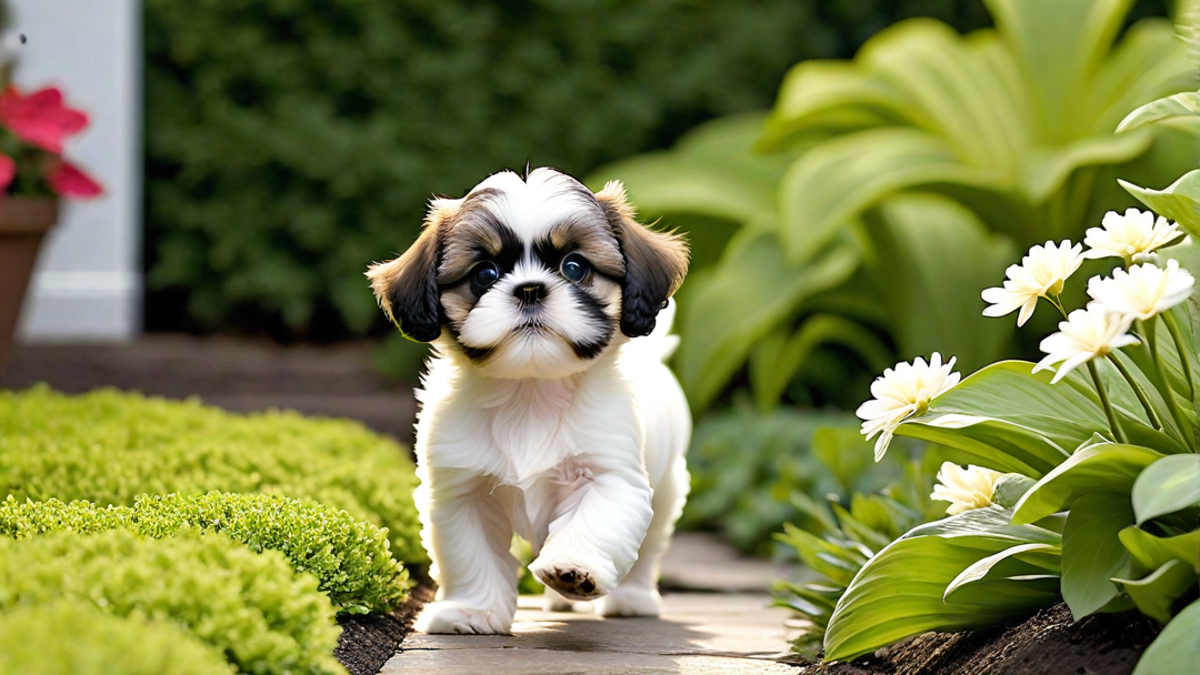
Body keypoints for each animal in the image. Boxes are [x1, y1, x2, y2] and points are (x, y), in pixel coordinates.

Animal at [369, 164, 700, 629]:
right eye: (485, 274)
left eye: (574, 267)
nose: (529, 289)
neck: (531, 390)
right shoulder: (461, 491)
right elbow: (471, 553)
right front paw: (473, 609)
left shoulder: (611, 475)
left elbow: (594, 520)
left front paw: (574, 570)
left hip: (668, 487)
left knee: (649, 547)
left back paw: (631, 598)